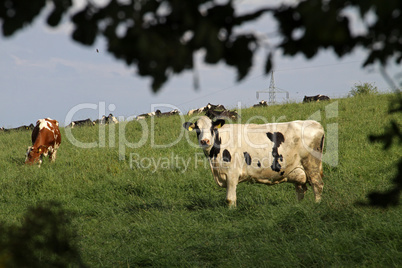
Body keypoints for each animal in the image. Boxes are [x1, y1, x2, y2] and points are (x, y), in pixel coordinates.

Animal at [184, 115, 326, 207]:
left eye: (212, 128)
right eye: (197, 129)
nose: (205, 141)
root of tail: (316, 124)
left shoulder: (232, 173)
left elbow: (230, 199)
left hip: (311, 164)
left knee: (317, 184)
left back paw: (316, 205)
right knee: (301, 190)